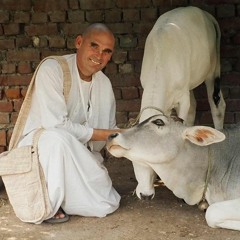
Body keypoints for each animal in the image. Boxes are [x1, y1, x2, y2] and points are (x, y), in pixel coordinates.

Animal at [132, 6, 226, 201]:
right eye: (133, 160)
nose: (145, 194)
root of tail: (206, 14)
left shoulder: (182, 97)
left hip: (212, 71)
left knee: (217, 104)